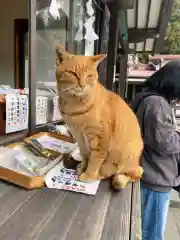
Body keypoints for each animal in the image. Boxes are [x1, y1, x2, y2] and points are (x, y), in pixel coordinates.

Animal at [56, 46, 143, 189]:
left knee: (136, 173)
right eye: (73, 73)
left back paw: (110, 176)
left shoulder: (100, 139)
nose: (82, 85)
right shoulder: (79, 136)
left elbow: (95, 160)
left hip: (127, 156)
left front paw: (89, 175)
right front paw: (83, 167)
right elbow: (85, 154)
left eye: (90, 76)